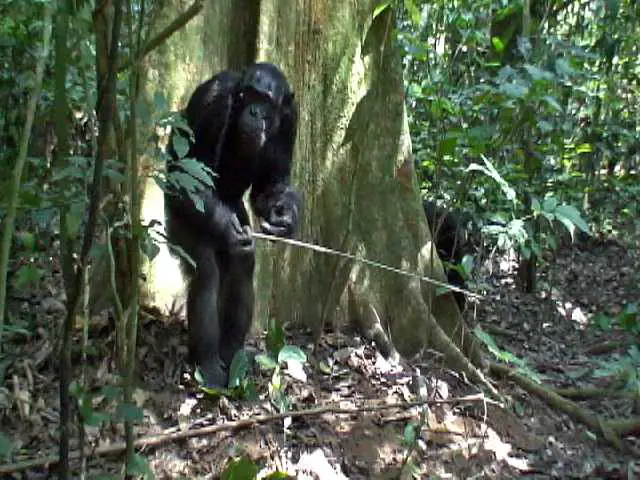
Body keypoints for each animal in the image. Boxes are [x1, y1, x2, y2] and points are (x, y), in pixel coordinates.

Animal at [168, 62, 302, 388]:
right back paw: (209, 367)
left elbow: (272, 183)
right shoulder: (213, 101)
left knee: (242, 263)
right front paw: (226, 226)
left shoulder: (291, 120)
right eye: (249, 95)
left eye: (265, 100)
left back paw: (230, 355)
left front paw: (284, 218)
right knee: (206, 274)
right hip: (176, 218)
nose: (254, 112)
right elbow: (188, 170)